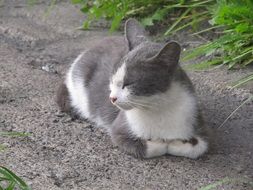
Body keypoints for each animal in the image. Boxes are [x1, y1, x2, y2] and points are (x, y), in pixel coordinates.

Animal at [56, 18, 209, 159]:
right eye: (112, 80)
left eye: (128, 84)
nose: (112, 98)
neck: (157, 107)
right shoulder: (119, 130)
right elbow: (150, 147)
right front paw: (162, 143)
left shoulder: (195, 119)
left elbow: (199, 147)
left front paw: (175, 143)